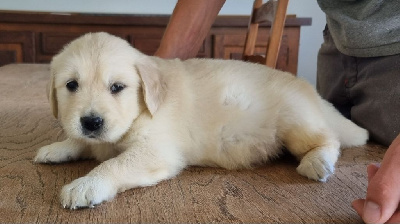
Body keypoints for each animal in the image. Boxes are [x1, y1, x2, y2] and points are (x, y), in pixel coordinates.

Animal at [34, 32, 368, 209]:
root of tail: (311, 90)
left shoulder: (157, 151)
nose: (91, 122)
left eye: (117, 87)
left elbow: (114, 164)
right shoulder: (97, 137)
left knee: (328, 139)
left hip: (295, 121)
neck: (141, 111)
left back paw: (317, 162)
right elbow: (81, 142)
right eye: (71, 85)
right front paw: (57, 148)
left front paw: (86, 184)